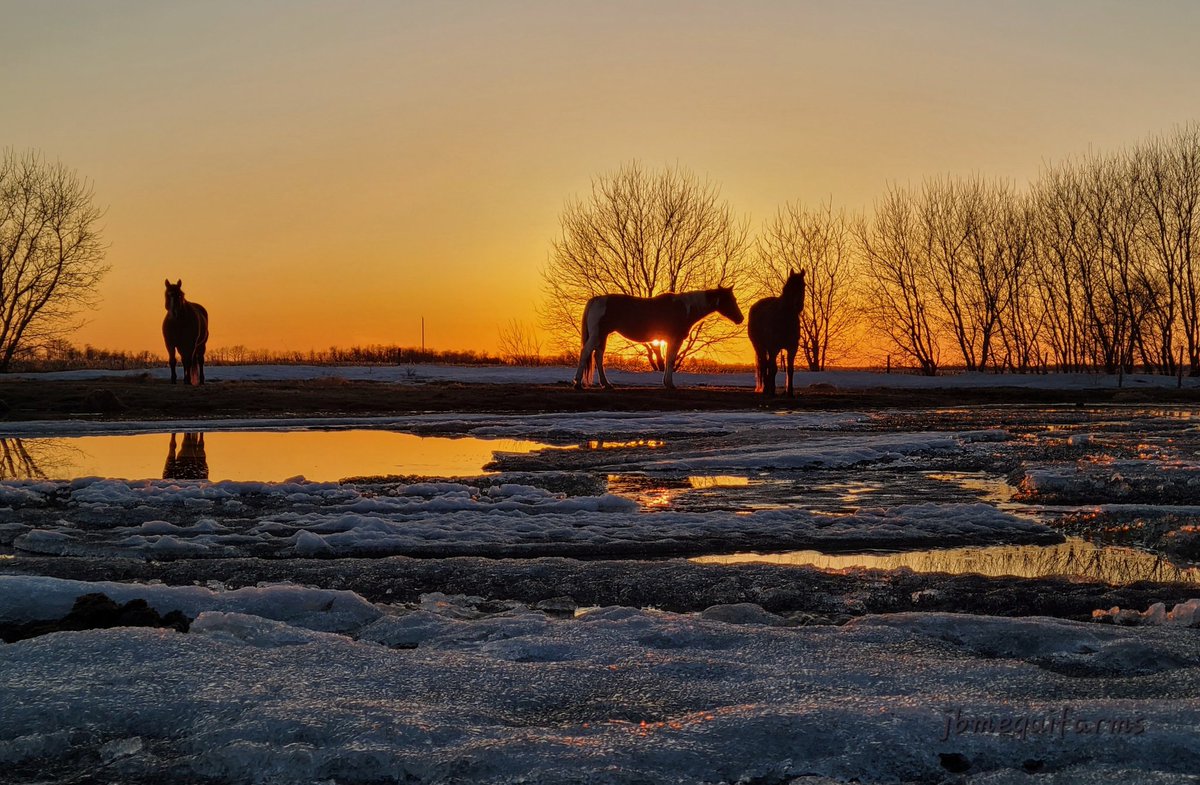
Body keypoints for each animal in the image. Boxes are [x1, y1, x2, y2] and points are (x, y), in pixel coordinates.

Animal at [573, 286, 743, 390]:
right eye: (731, 300)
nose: (740, 318)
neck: (685, 307)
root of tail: (596, 300)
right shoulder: (675, 339)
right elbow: (671, 360)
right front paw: (670, 384)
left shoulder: (668, 340)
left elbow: (668, 359)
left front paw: (666, 383)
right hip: (597, 335)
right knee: (586, 352)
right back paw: (578, 383)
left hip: (602, 335)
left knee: (598, 356)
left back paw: (606, 384)